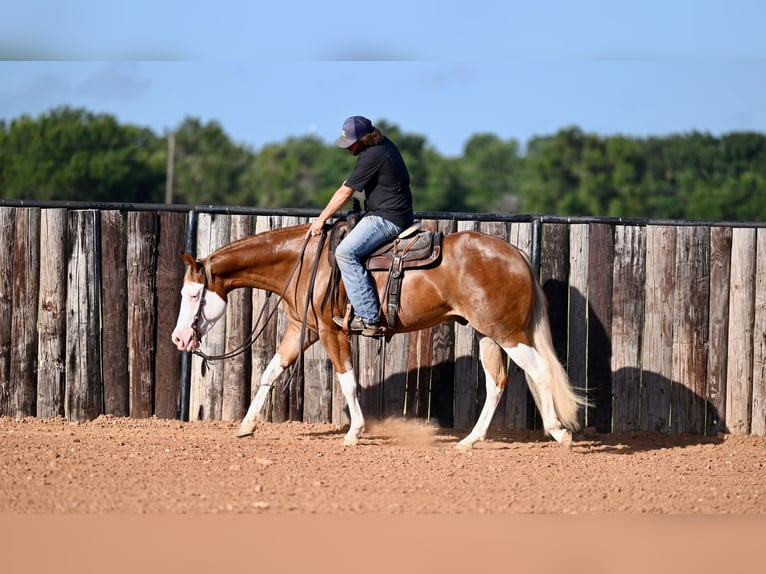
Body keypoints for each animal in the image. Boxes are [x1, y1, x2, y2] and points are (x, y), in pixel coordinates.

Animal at [170, 223, 588, 452]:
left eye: (191, 295)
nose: (178, 339)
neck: (303, 263)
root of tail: (517, 255)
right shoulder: (303, 330)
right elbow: (271, 372)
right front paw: (246, 425)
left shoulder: (331, 331)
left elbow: (348, 380)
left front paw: (354, 432)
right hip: (489, 335)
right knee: (497, 382)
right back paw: (471, 440)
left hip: (508, 333)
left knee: (539, 371)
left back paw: (558, 432)